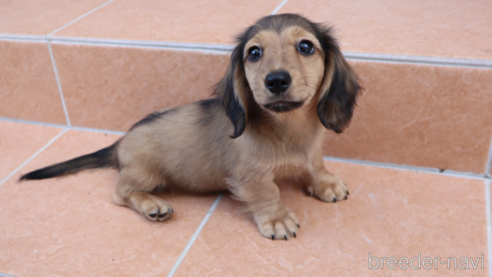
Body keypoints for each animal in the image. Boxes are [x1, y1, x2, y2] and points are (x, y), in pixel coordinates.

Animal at [20, 13, 362, 239]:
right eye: (254, 53)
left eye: (306, 47)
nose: (276, 80)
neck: (287, 130)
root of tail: (119, 143)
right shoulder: (250, 176)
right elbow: (267, 193)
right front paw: (277, 219)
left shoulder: (312, 151)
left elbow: (315, 164)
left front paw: (325, 183)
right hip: (144, 173)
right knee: (120, 192)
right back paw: (152, 204)